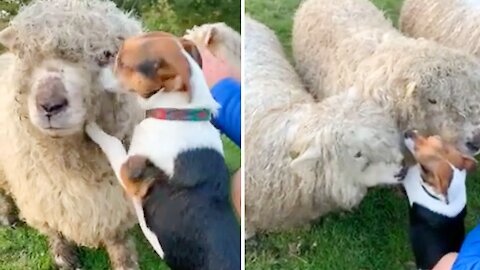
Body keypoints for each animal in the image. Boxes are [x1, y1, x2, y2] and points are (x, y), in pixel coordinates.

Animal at [0, 1, 144, 268]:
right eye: (25, 54)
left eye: (106, 54)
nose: (49, 104)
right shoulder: (43, 195)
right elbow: (55, 231)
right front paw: (63, 258)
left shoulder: (116, 198)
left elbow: (118, 241)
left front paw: (125, 262)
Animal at [85, 32, 240, 270]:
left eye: (122, 63)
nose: (95, 65)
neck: (177, 114)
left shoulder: (129, 173)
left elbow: (111, 142)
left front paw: (90, 125)